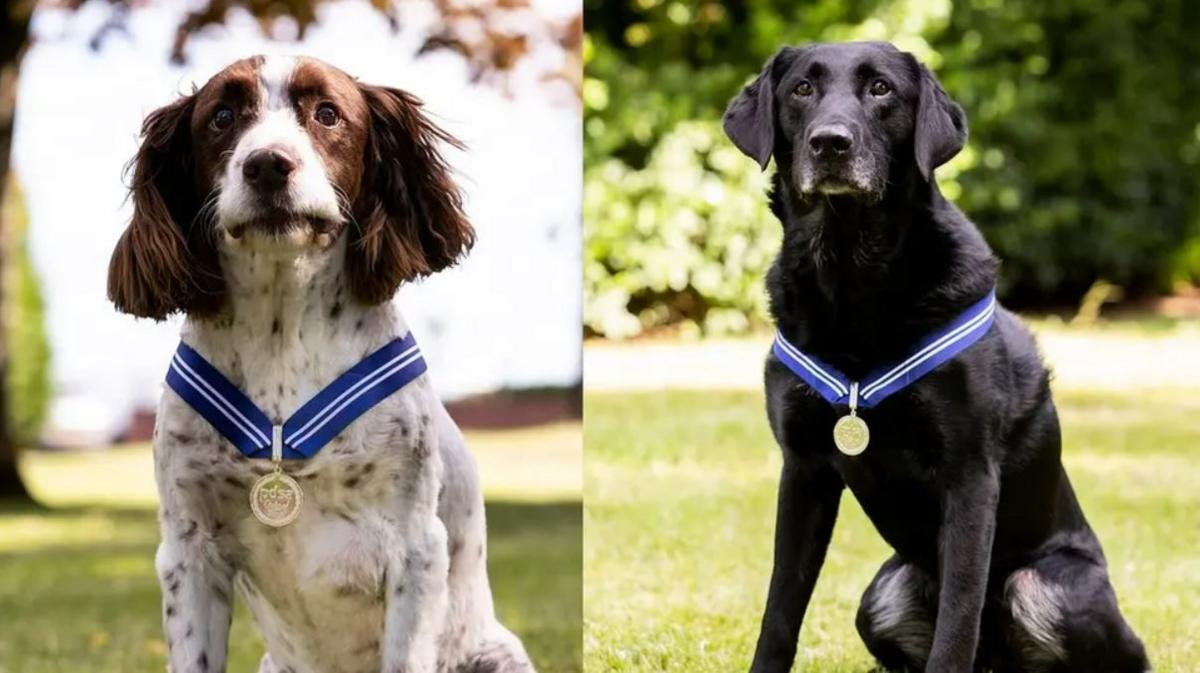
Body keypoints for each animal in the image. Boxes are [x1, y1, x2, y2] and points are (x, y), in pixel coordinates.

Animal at [105, 56, 537, 671]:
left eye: (328, 114)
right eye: (222, 117)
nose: (267, 165)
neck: (283, 334)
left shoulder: (416, 550)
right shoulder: (188, 552)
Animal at [720, 41, 1152, 671]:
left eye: (881, 89)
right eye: (801, 89)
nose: (830, 143)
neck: (851, 275)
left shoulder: (969, 475)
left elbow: (958, 617)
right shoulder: (802, 469)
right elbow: (780, 610)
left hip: (1044, 588)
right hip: (884, 592)